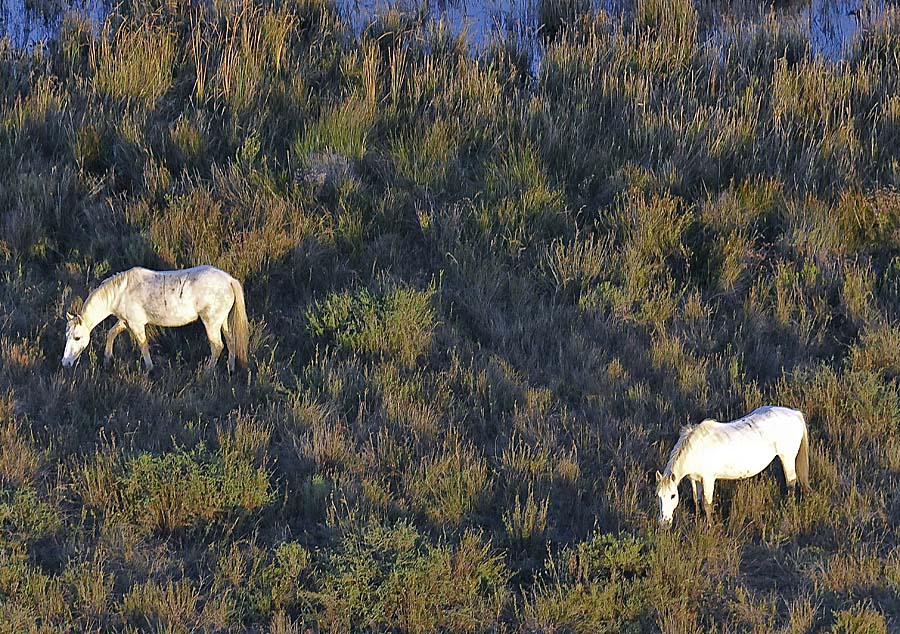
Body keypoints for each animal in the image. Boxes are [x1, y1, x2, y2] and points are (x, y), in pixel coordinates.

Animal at [62, 262, 250, 370]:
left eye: (77, 338)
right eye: (67, 336)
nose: (65, 363)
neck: (121, 291)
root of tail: (229, 280)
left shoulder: (136, 324)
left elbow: (143, 345)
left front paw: (150, 368)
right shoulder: (125, 321)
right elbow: (111, 333)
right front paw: (107, 359)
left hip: (211, 323)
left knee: (217, 346)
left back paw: (207, 374)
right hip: (222, 322)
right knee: (231, 341)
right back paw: (231, 368)